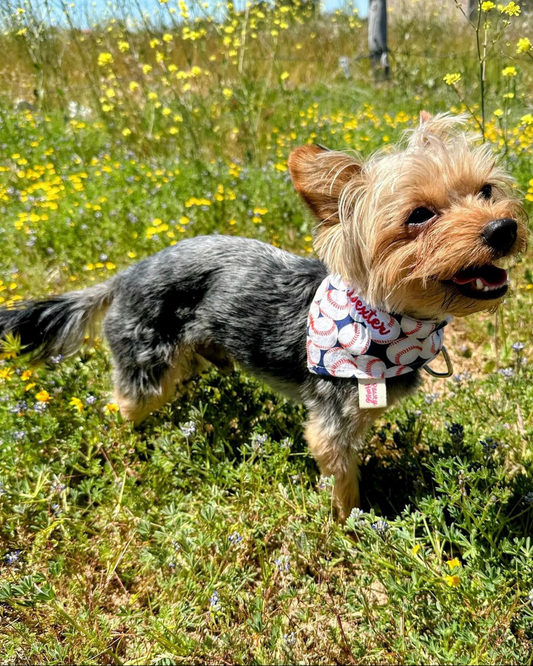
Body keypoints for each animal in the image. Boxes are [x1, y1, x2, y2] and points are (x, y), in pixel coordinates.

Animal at [0, 113, 524, 520]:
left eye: (486, 190)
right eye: (418, 216)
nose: (505, 228)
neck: (387, 320)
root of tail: (123, 276)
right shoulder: (331, 422)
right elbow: (342, 478)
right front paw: (351, 522)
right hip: (144, 364)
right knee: (127, 406)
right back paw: (136, 446)